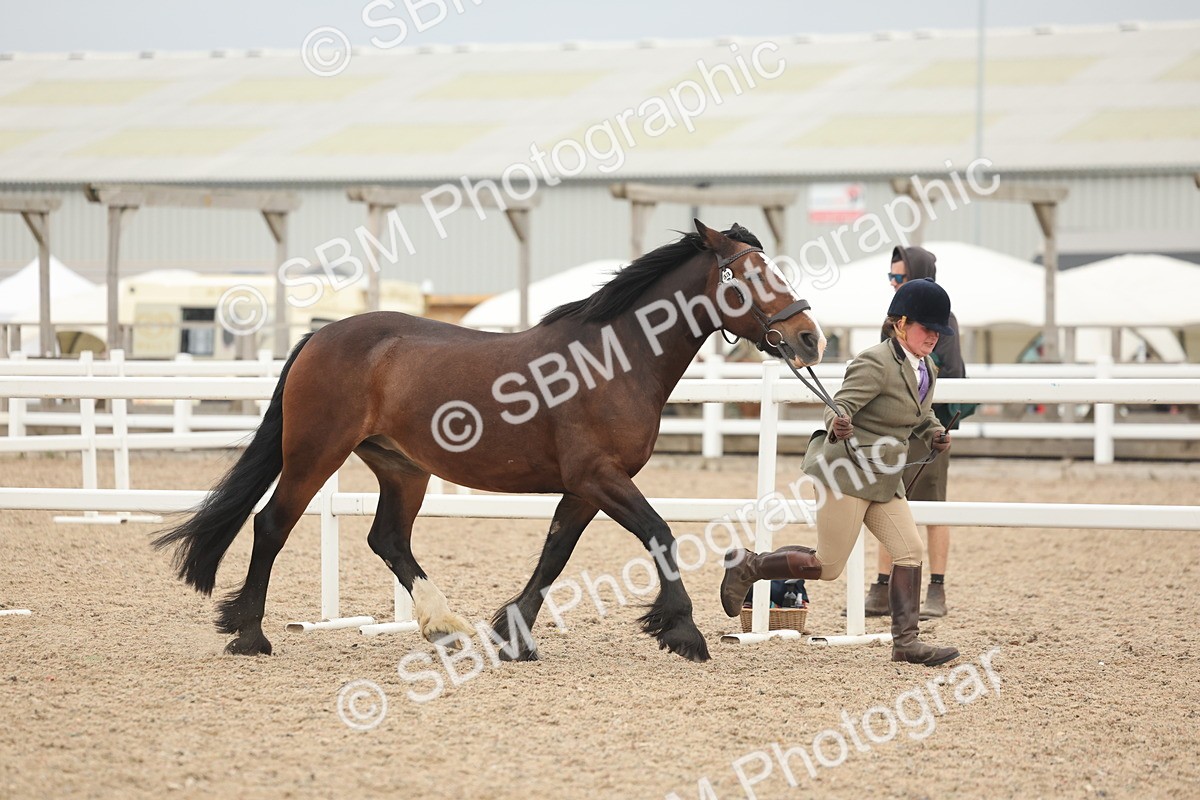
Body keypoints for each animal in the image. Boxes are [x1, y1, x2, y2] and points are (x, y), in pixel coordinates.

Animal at [153, 220, 826, 663]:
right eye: (748, 274)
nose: (809, 338)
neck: (616, 360)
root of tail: (320, 337)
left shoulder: (584, 488)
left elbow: (554, 555)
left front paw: (513, 637)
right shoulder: (599, 477)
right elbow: (658, 534)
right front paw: (683, 633)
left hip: (403, 469)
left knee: (387, 538)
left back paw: (443, 625)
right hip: (315, 454)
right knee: (272, 526)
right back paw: (250, 635)